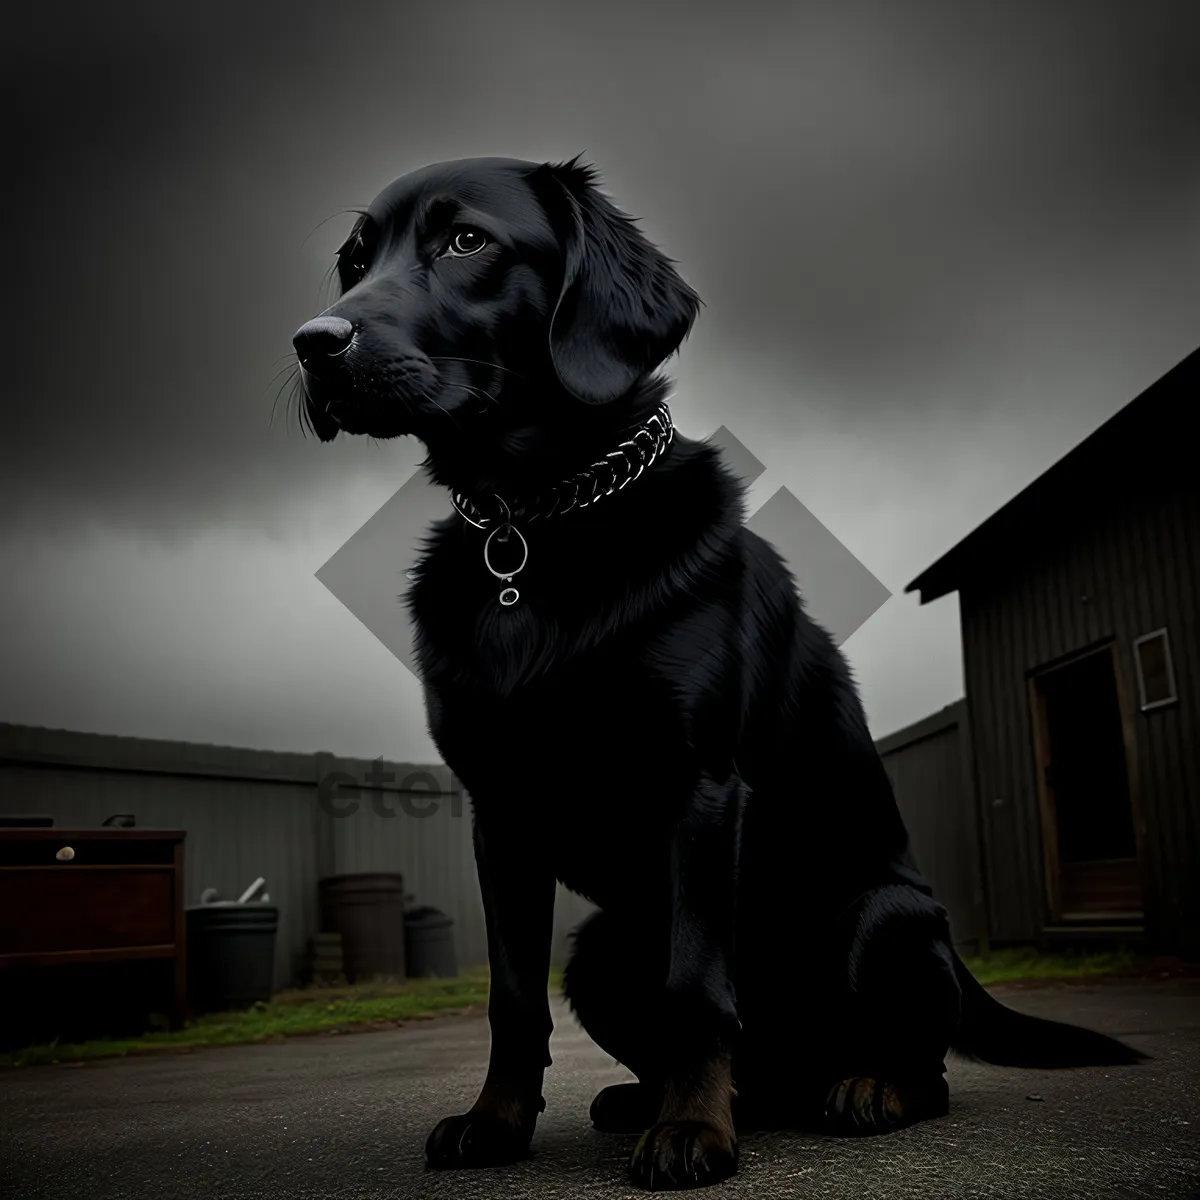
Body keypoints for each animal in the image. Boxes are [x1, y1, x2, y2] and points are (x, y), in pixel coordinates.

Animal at [295, 157, 1147, 1190]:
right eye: (353, 261)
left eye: (466, 241)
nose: (312, 342)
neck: (538, 522)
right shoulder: (500, 815)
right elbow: (511, 996)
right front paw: (496, 1123)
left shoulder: (698, 786)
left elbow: (697, 985)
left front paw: (694, 1131)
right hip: (599, 948)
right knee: (745, 1064)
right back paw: (656, 1098)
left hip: (883, 916)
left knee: (924, 1068)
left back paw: (864, 1089)